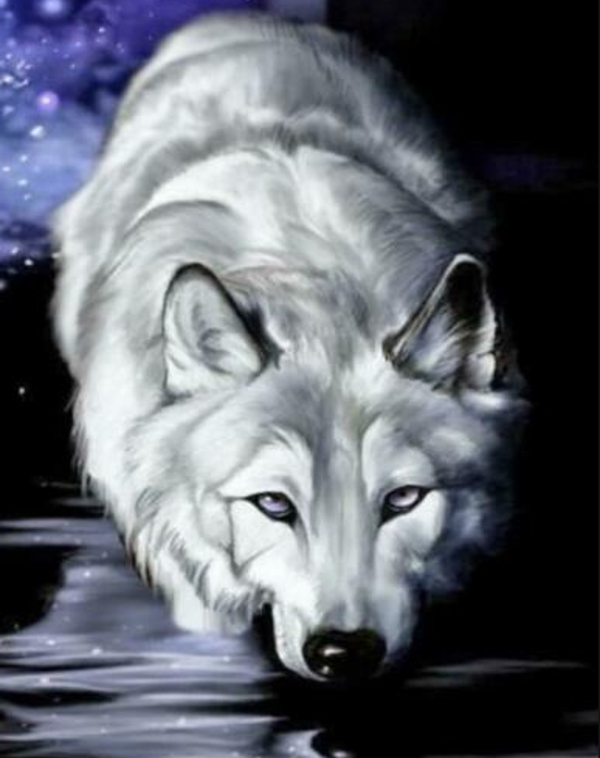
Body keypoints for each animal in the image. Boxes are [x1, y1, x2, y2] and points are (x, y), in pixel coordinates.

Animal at [51, 12, 527, 681]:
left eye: (403, 499)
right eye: (274, 505)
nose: (344, 653)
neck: (319, 293)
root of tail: (242, 16)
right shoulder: (183, 557)